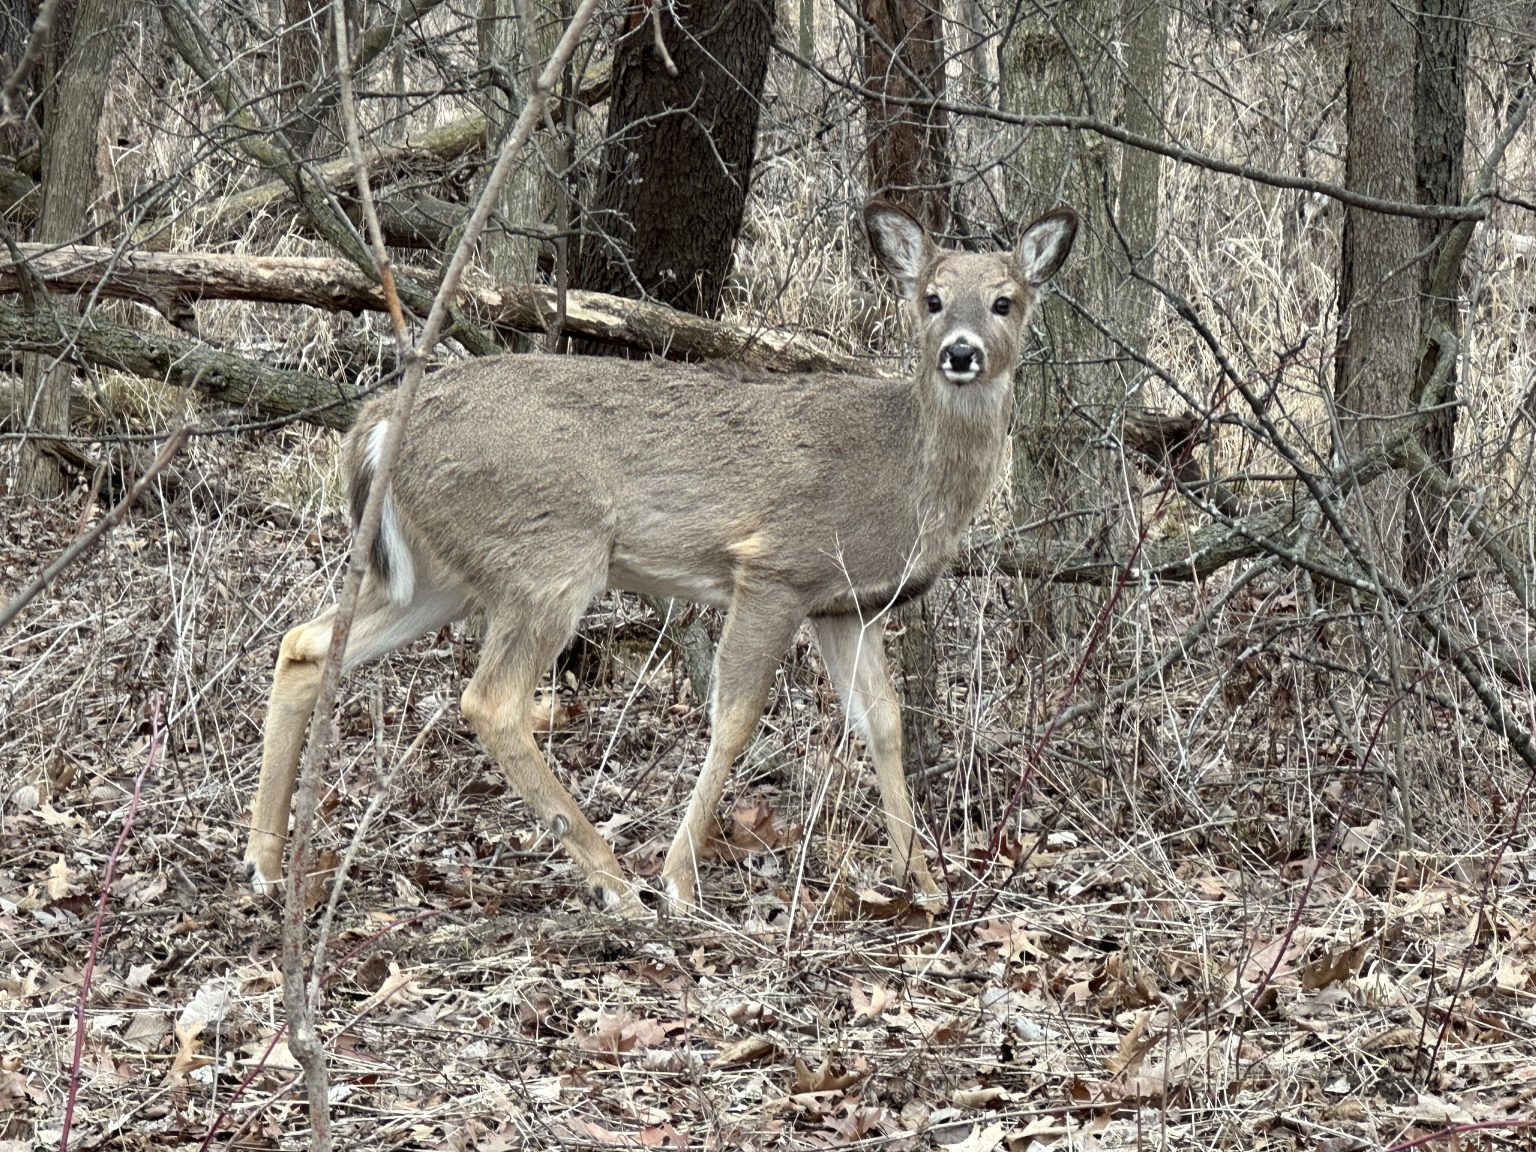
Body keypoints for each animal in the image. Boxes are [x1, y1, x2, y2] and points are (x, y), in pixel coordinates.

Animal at [242, 199, 1077, 917]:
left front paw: (927, 885)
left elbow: (883, 723)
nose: (961, 353)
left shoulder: (846, 605)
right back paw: (615, 882)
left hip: (439, 575)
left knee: (306, 643)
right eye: (931, 299)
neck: (903, 471)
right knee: (491, 701)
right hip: (551, 553)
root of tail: (382, 417)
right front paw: (679, 880)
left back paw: (265, 861)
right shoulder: (776, 566)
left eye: (1004, 301)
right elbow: (734, 719)